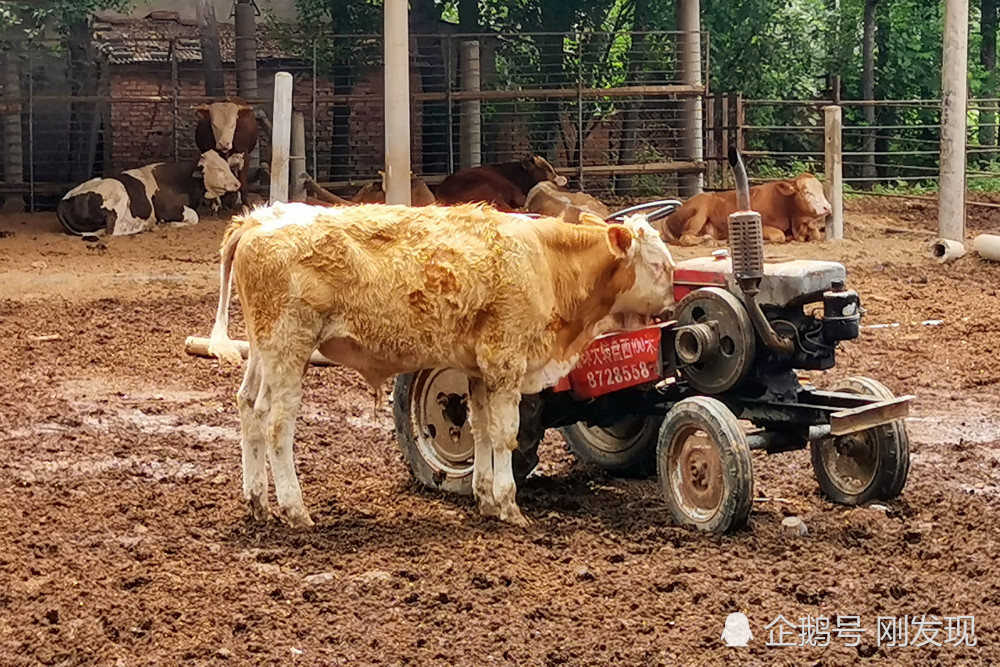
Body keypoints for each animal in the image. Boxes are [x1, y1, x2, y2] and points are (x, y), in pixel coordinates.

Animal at [57, 151, 243, 237]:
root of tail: (63, 202)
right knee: (112, 230)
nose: (237, 183)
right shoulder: (167, 209)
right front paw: (169, 224)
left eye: (226, 165)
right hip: (117, 192)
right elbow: (193, 216)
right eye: (218, 169)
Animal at [660, 175, 832, 248]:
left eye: (821, 190)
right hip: (701, 209)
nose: (828, 207)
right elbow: (779, 235)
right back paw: (708, 240)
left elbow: (816, 234)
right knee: (686, 237)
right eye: (806, 192)